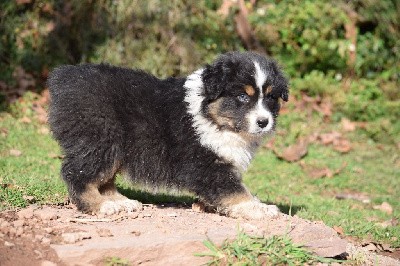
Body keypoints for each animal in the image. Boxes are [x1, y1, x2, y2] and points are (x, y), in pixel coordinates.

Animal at [48, 51, 290, 219]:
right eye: (242, 96)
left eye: (271, 97)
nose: (263, 122)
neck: (213, 119)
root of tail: (63, 77)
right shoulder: (205, 162)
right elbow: (234, 189)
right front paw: (259, 208)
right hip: (101, 137)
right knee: (77, 173)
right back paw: (101, 205)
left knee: (103, 178)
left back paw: (121, 202)